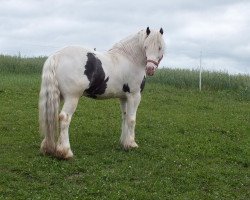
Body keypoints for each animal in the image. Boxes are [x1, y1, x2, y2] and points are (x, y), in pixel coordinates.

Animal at [39, 26, 166, 159]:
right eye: (145, 46)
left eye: (159, 47)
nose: (150, 69)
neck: (130, 59)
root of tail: (57, 55)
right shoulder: (134, 96)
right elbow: (131, 119)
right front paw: (131, 144)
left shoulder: (124, 97)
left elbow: (125, 117)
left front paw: (124, 143)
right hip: (72, 97)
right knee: (64, 118)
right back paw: (65, 152)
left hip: (58, 96)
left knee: (50, 117)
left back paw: (48, 148)